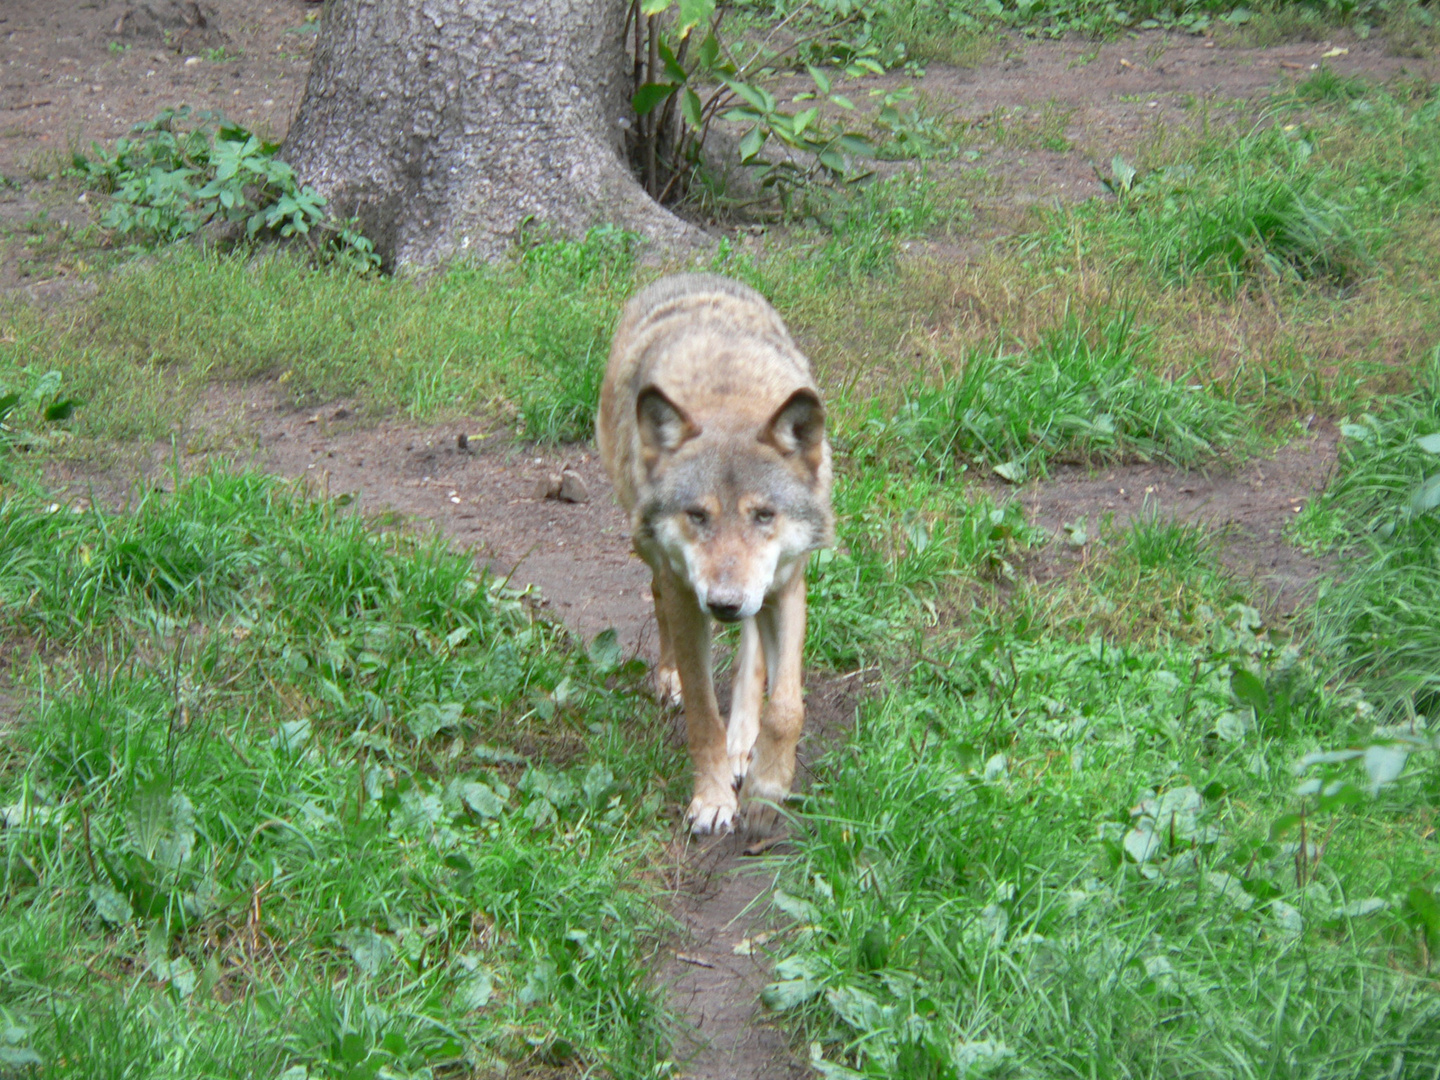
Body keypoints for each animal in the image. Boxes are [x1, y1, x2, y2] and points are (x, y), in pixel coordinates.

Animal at [596, 270, 840, 835]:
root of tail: (689, 272)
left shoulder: (787, 586)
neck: (730, 398)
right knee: (657, 597)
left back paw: (744, 743)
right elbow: (703, 714)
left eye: (764, 515)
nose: (724, 603)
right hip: (650, 550)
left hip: (762, 592)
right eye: (698, 515)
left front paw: (767, 786)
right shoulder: (689, 597)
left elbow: (786, 708)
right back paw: (671, 681)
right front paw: (712, 799)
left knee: (753, 654)